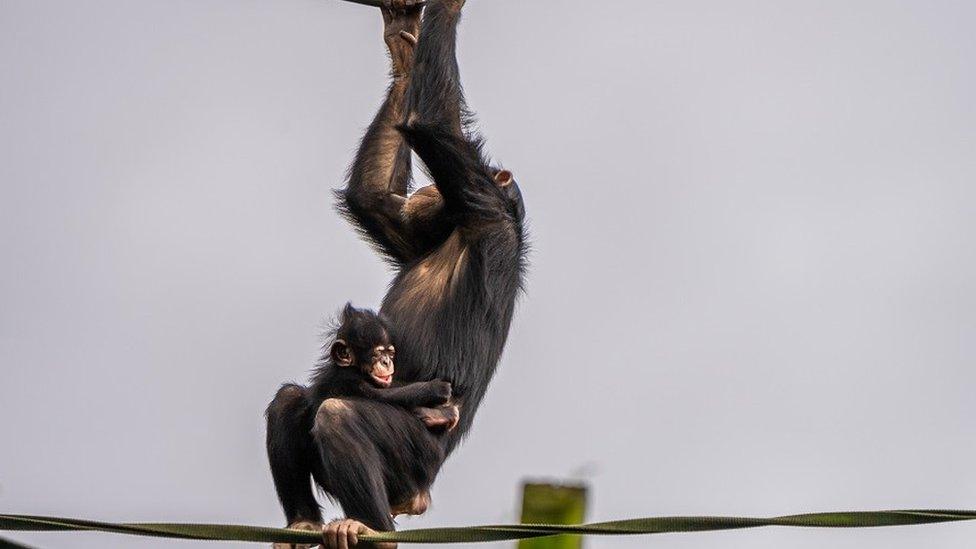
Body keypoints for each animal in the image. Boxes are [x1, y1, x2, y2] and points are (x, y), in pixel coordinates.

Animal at [312, 302, 466, 430]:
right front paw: (437, 392)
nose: (386, 362)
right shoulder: (347, 377)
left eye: (390, 353)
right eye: (378, 353)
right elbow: (379, 394)